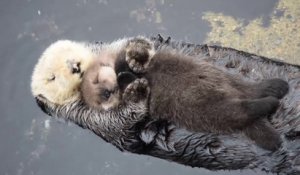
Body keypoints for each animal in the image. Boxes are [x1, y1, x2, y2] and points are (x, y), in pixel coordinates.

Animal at [79, 37, 288, 150]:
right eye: (103, 93)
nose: (109, 88)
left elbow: (132, 60)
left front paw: (135, 56)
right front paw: (131, 83)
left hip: (226, 79)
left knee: (250, 89)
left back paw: (276, 87)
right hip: (212, 110)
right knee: (243, 110)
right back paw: (271, 104)